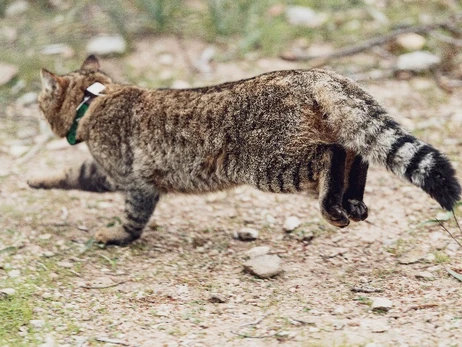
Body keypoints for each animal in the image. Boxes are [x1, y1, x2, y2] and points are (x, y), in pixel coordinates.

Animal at [28, 55, 458, 246]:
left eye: (40, 100)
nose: (37, 105)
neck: (96, 98)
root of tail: (318, 73)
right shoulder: (108, 173)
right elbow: (74, 174)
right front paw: (37, 180)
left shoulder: (133, 181)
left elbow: (132, 218)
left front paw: (116, 236)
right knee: (357, 152)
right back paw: (351, 202)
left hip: (269, 164)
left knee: (331, 155)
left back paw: (333, 207)